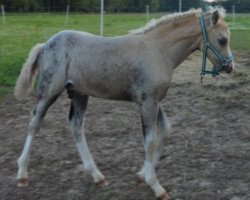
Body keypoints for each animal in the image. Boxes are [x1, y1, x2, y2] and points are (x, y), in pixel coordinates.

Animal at [15, 8, 234, 200]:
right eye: (222, 40)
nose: (230, 67)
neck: (158, 50)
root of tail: (45, 45)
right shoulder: (147, 102)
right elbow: (150, 140)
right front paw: (155, 185)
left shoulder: (154, 100)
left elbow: (165, 130)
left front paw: (142, 175)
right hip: (49, 91)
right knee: (35, 123)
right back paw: (22, 174)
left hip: (78, 93)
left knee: (76, 125)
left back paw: (97, 176)